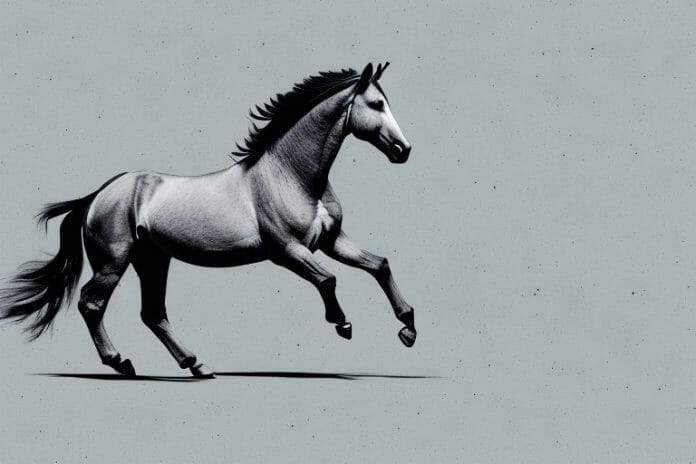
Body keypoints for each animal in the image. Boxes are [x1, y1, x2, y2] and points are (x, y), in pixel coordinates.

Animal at [0, 62, 416, 378]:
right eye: (376, 104)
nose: (404, 150)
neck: (291, 176)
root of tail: (98, 195)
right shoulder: (286, 250)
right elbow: (329, 279)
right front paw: (343, 324)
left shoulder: (331, 241)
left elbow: (379, 265)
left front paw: (408, 329)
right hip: (113, 262)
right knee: (91, 304)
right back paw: (121, 363)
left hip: (152, 260)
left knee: (153, 313)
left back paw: (196, 365)